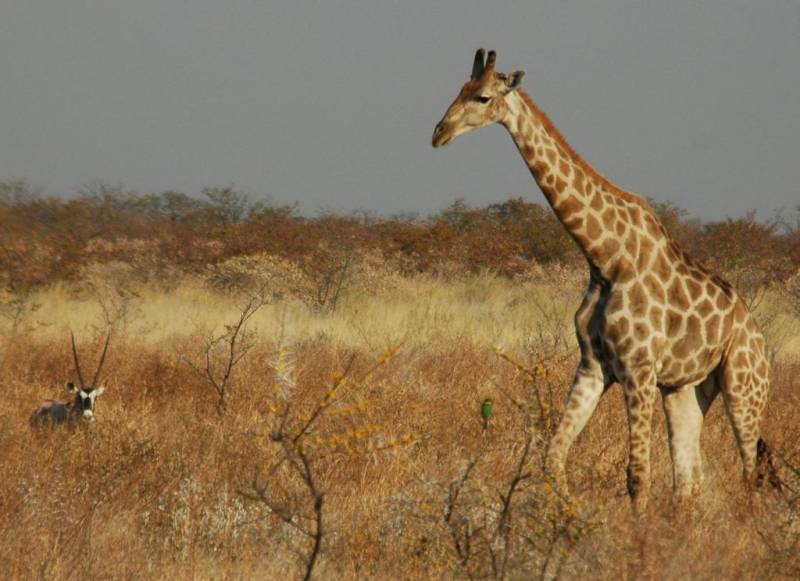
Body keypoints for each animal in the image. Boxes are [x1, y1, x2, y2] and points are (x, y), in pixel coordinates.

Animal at [434, 51, 780, 512]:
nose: (439, 133)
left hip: (744, 385)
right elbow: (553, 456)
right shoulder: (594, 365)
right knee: (689, 479)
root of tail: (757, 334)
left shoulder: (638, 368)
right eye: (459, 89)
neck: (604, 257)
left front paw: (634, 534)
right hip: (687, 389)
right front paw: (568, 518)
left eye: (483, 97)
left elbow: (637, 476)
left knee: (747, 473)